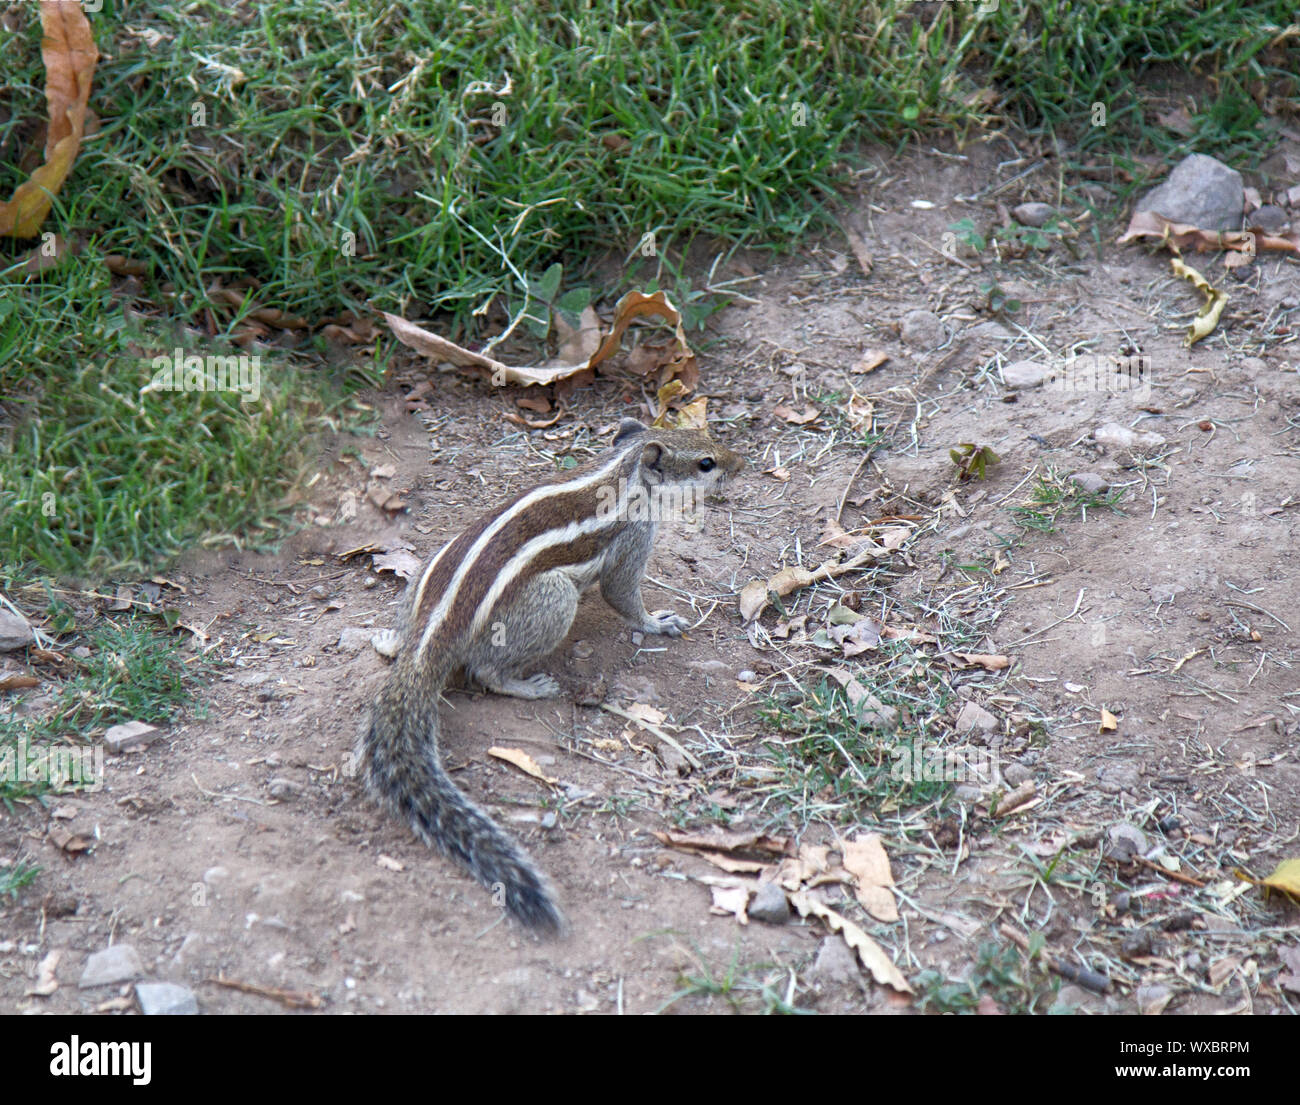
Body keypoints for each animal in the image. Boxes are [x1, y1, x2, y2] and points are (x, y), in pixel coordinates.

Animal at [356, 418, 743, 930]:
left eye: (708, 437)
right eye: (705, 462)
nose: (741, 463)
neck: (621, 474)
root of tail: (431, 636)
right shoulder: (632, 541)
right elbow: (623, 596)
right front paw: (657, 623)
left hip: (421, 577)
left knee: (405, 635)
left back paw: (389, 640)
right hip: (554, 600)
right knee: (487, 672)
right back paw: (529, 686)